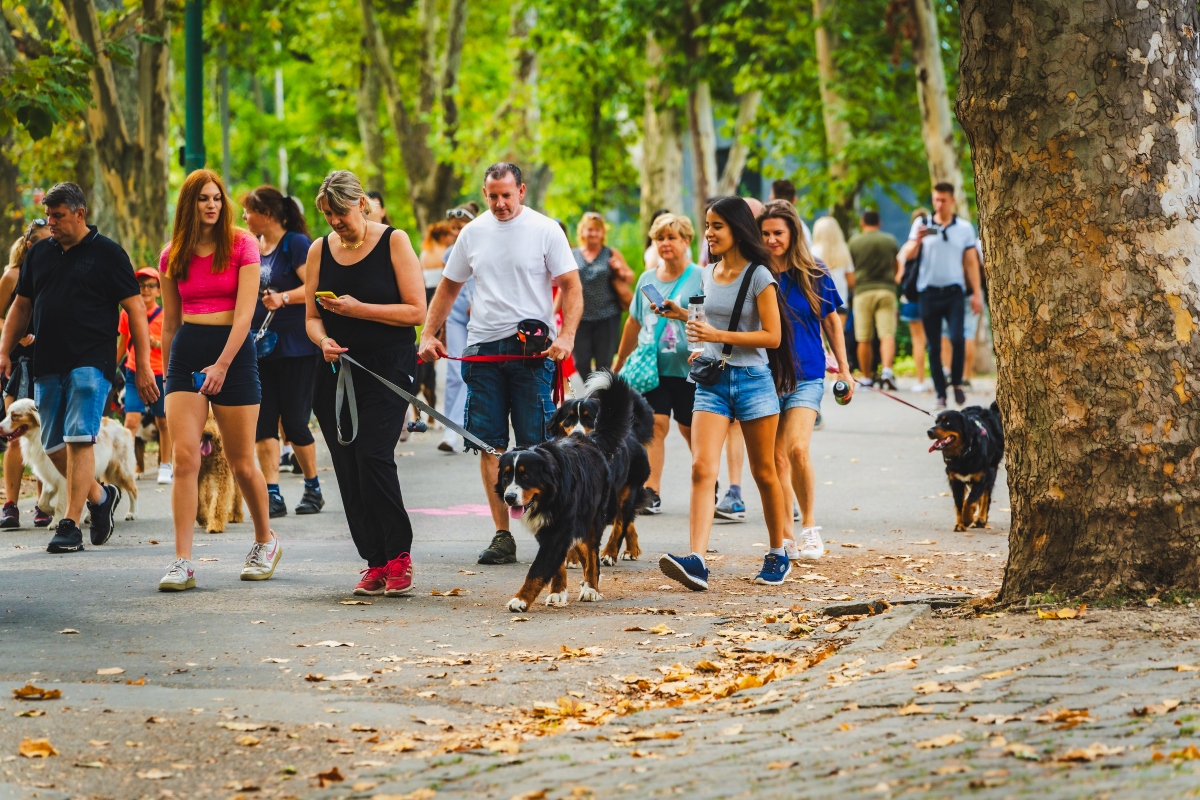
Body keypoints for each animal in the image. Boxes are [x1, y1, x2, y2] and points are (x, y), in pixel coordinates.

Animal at [0, 398, 137, 522]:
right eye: (7, 414)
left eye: (15, 415)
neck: (36, 436)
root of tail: (119, 424)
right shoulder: (49, 477)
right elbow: (42, 503)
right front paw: (51, 511)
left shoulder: (62, 479)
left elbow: (60, 505)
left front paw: (55, 522)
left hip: (120, 470)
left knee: (133, 490)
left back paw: (131, 513)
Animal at [494, 371, 638, 614]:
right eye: (506, 477)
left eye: (525, 476)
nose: (509, 498)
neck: (548, 497)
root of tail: (589, 439)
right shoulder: (548, 529)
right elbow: (555, 564)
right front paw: (557, 591)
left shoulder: (559, 528)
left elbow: (538, 569)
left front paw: (521, 599)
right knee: (582, 547)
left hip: (593, 516)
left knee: (592, 551)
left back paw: (591, 587)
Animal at [547, 381, 652, 563]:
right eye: (568, 419)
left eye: (589, 419)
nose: (577, 433)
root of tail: (632, 433)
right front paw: (571, 557)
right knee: (628, 520)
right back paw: (631, 549)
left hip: (627, 491)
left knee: (621, 522)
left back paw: (610, 553)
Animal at [926, 400, 1003, 532]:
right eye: (936, 422)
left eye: (947, 423)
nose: (929, 432)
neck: (964, 454)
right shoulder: (955, 481)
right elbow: (959, 504)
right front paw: (959, 524)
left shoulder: (982, 478)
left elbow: (970, 501)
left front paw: (967, 519)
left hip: (991, 472)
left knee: (985, 496)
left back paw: (981, 519)